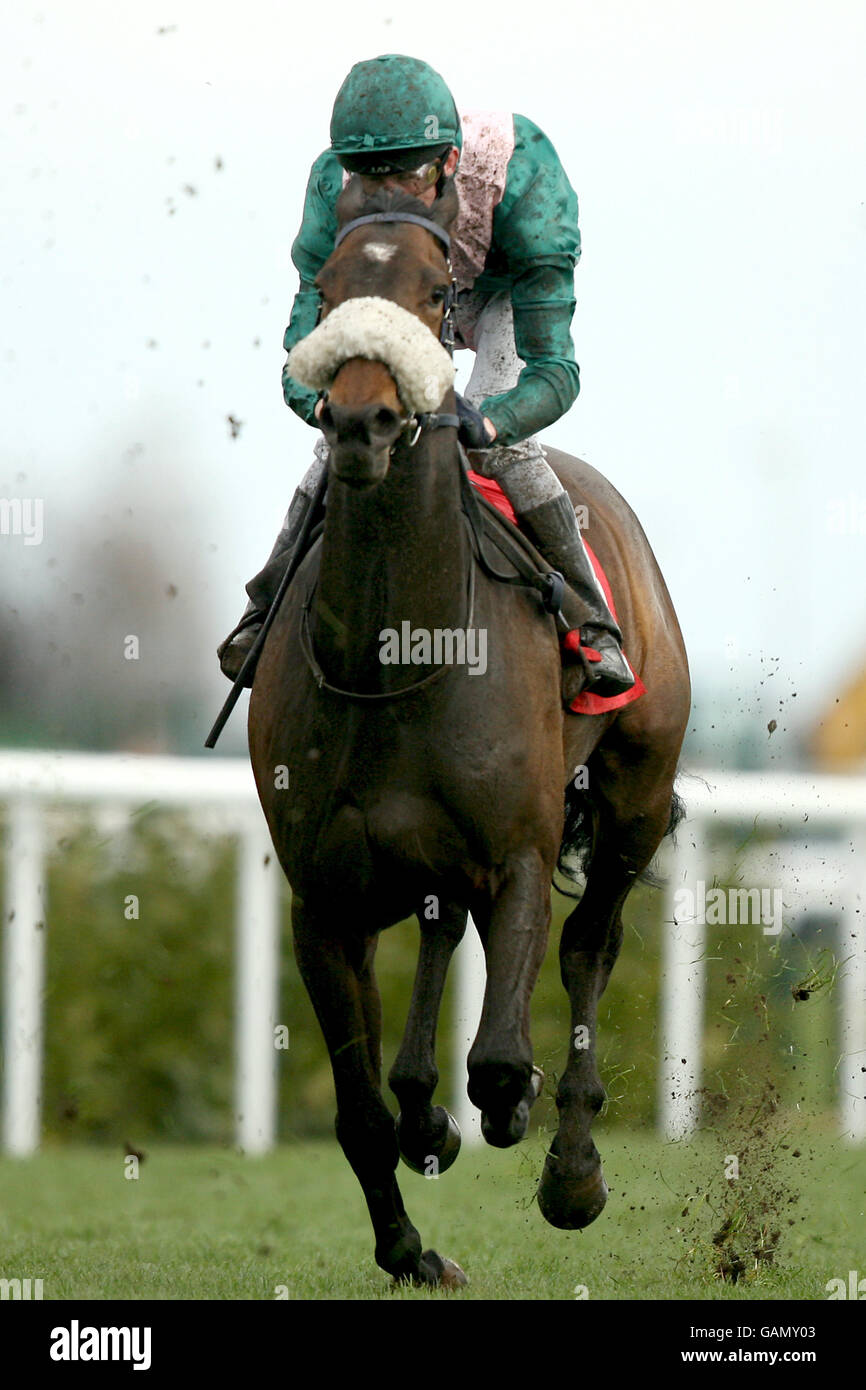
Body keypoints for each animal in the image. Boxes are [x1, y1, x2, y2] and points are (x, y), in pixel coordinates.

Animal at [248, 176, 692, 1289]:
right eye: (325, 290)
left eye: (438, 290)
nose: (360, 419)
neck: (394, 656)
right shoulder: (321, 900)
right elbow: (358, 1113)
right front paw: (409, 1245)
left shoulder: (521, 852)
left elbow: (499, 1054)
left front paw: (520, 1120)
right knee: (445, 930)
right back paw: (428, 1113)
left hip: (631, 794)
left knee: (589, 946)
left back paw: (565, 1158)